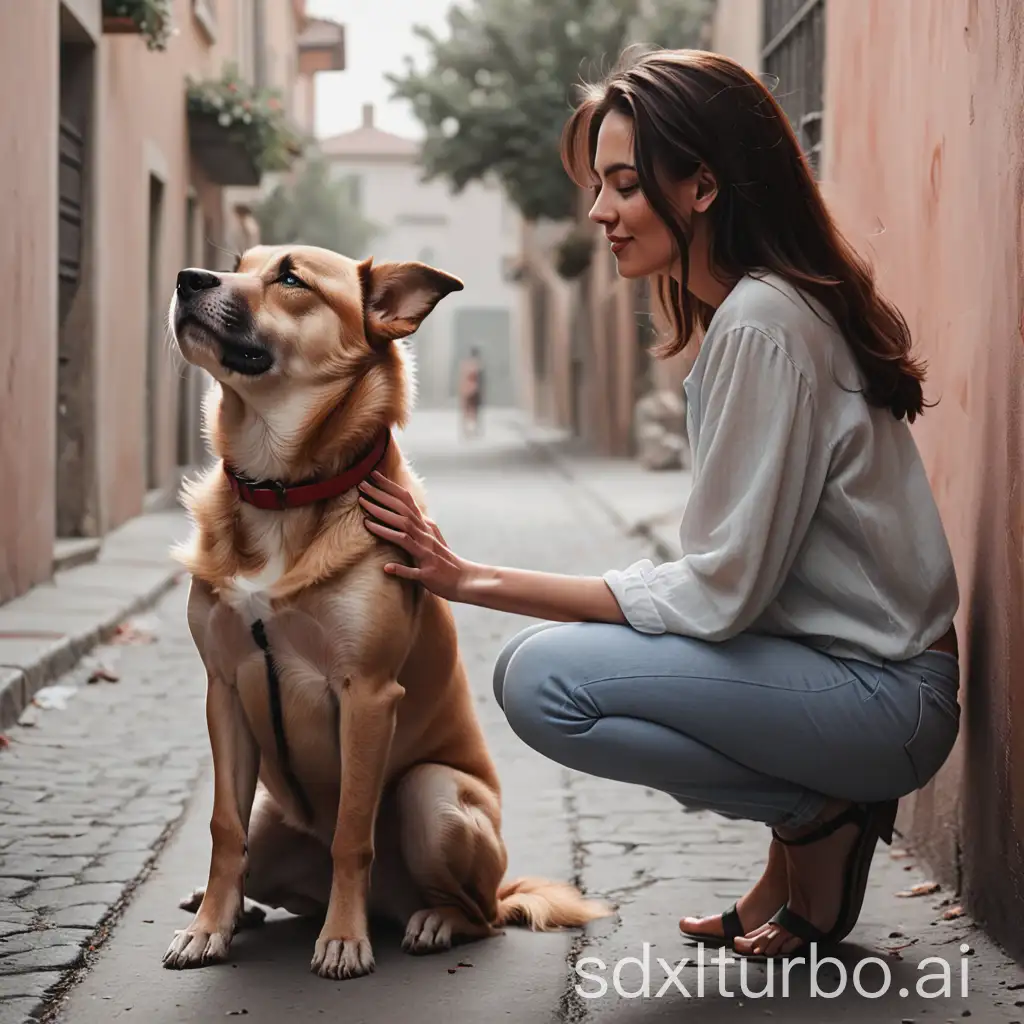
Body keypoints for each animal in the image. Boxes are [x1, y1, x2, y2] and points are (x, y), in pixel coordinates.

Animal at [160, 243, 606, 978]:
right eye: (237, 263)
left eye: (289, 278)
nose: (187, 279)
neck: (284, 491)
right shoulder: (223, 688)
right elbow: (224, 828)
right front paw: (209, 928)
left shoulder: (367, 694)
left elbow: (352, 831)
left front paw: (344, 939)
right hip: (273, 819)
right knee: (261, 861)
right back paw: (238, 909)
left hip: (434, 797)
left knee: (481, 916)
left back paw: (433, 921)